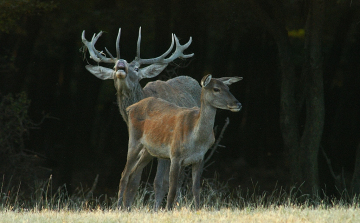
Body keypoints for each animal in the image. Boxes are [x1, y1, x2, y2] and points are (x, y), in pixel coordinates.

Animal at [81, 27, 202, 210]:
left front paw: (156, 209)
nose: (120, 64)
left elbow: (160, 182)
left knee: (179, 178)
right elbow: (134, 178)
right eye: (113, 65)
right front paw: (126, 206)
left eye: (137, 68)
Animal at [120, 74, 242, 210]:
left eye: (228, 88)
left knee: (133, 174)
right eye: (216, 89)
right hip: (134, 140)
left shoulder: (199, 158)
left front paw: (197, 209)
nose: (238, 104)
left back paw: (127, 207)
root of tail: (131, 107)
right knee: (124, 174)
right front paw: (168, 210)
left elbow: (196, 188)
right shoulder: (175, 155)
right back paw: (119, 206)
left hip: (149, 150)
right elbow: (172, 189)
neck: (196, 139)